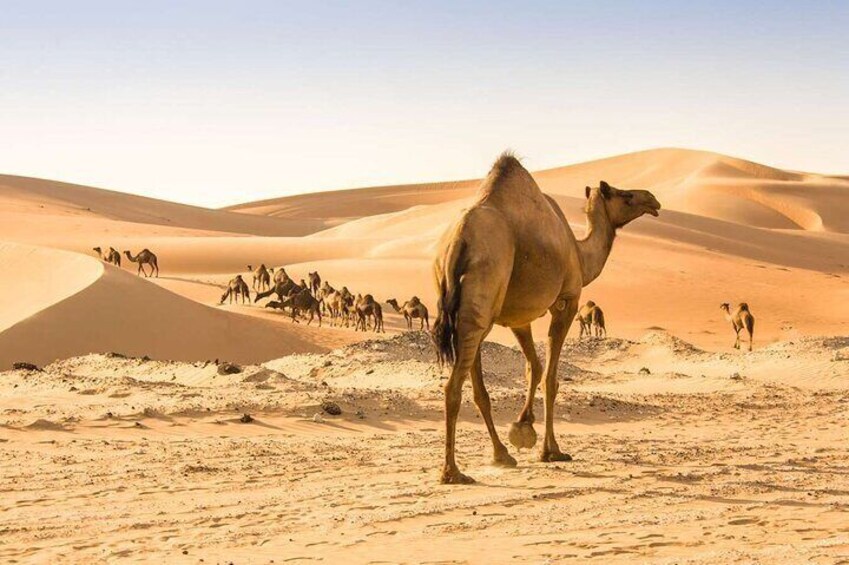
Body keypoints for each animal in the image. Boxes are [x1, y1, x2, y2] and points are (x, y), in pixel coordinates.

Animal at [430, 154, 664, 484]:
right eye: (625, 195)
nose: (652, 199)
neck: (580, 253)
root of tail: (457, 242)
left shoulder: (518, 318)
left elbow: (534, 367)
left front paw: (522, 428)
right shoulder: (567, 301)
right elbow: (551, 378)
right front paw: (551, 451)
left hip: (471, 309)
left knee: (476, 386)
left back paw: (501, 455)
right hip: (483, 294)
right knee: (454, 386)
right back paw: (453, 472)